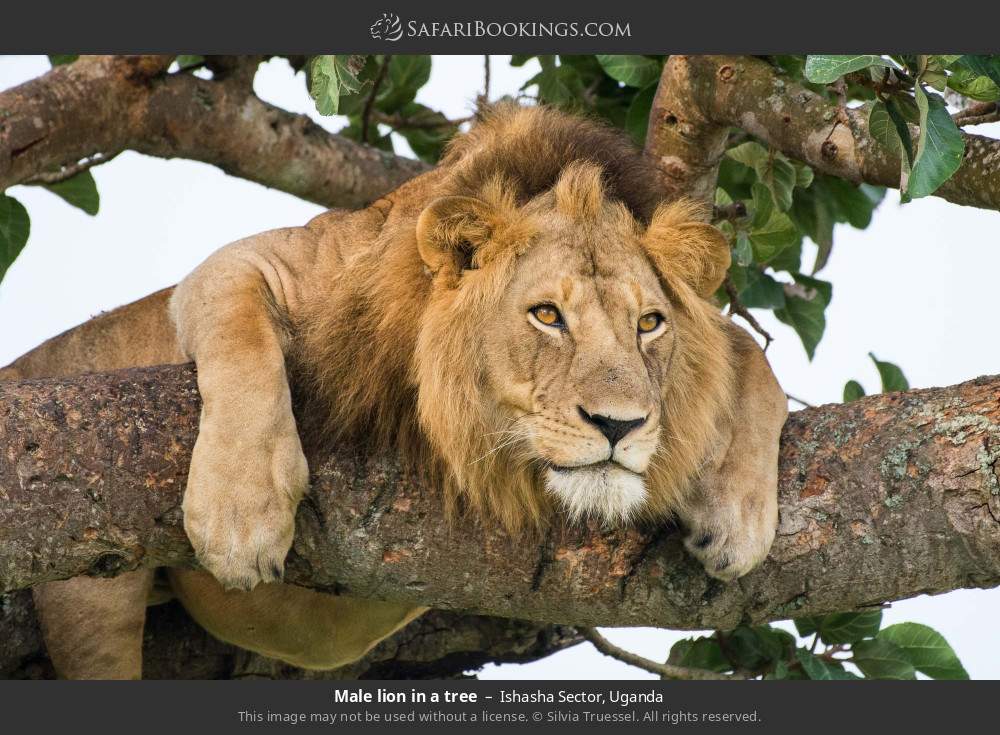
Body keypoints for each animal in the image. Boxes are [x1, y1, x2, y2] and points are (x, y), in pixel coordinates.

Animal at [2, 104, 787, 679]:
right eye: (546, 316)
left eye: (649, 323)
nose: (620, 424)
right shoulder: (251, 264)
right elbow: (241, 339)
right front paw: (241, 515)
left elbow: (750, 353)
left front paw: (737, 517)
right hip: (90, 599)